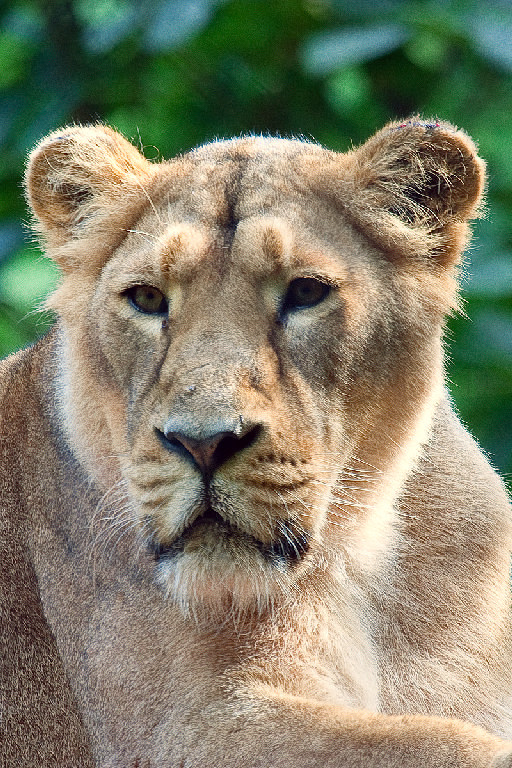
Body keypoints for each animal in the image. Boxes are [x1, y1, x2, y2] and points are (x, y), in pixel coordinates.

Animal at [1, 118, 512, 767]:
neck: (372, 568)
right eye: (147, 299)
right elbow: (437, 742)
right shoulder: (188, 726)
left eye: (306, 292)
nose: (203, 443)